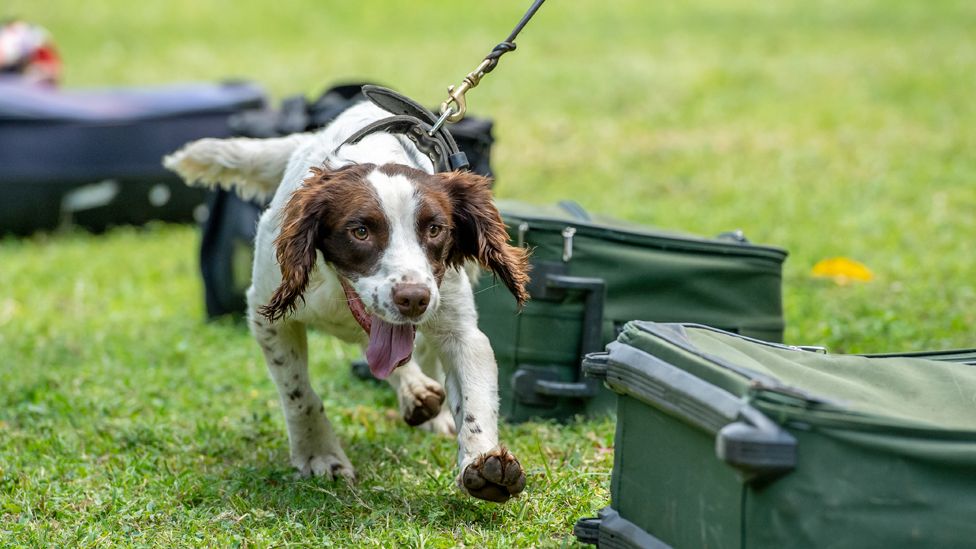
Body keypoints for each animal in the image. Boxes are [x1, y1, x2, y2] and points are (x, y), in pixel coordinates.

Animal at [164, 100, 528, 504]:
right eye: (360, 231)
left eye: (435, 229)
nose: (413, 299)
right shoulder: (269, 318)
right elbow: (299, 393)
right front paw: (319, 455)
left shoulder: (461, 330)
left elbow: (475, 401)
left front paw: (483, 462)